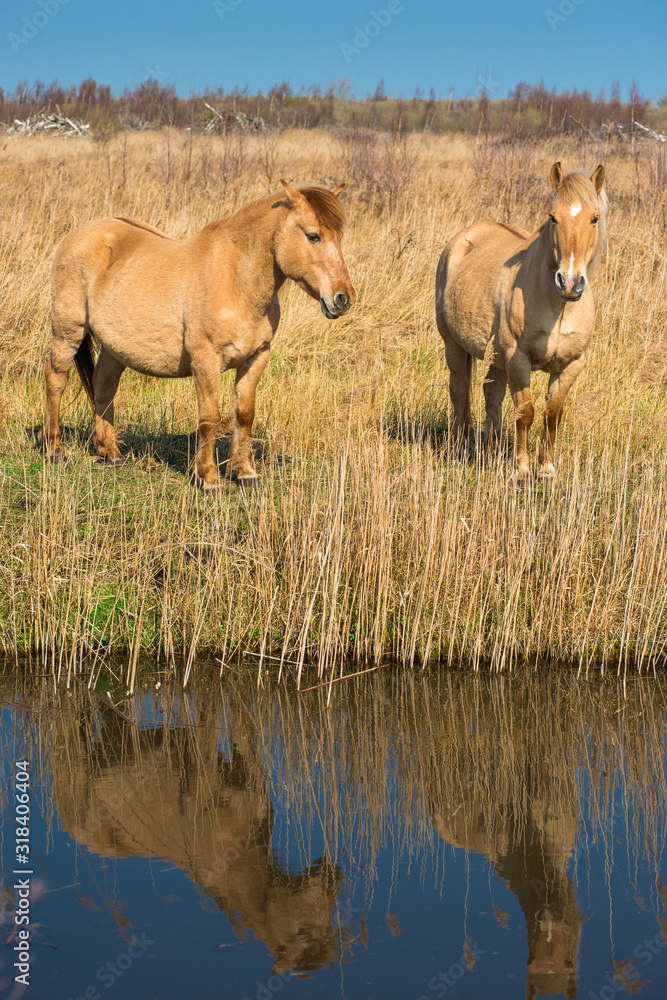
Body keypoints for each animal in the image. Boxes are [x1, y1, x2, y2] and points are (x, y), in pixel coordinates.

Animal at [41, 180, 355, 488]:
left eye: (340, 236)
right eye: (313, 236)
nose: (343, 298)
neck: (237, 280)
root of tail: (75, 236)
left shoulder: (257, 357)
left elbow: (244, 413)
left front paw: (245, 473)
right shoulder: (205, 360)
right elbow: (209, 417)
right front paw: (209, 478)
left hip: (114, 346)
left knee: (104, 386)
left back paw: (112, 454)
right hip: (68, 331)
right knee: (56, 378)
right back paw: (54, 450)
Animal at [435, 161, 607, 483]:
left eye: (594, 218)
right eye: (553, 217)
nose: (569, 282)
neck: (559, 307)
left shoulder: (571, 365)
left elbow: (552, 415)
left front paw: (547, 469)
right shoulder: (518, 358)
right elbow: (525, 413)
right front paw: (522, 471)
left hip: (495, 357)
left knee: (491, 395)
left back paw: (492, 448)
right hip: (454, 346)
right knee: (460, 392)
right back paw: (461, 448)